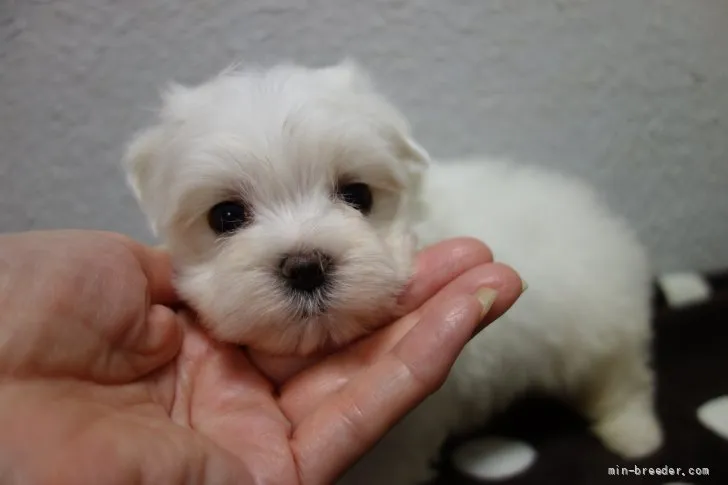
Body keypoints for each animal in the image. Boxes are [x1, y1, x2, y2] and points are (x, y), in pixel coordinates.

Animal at [126, 58, 664, 482]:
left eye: (357, 195)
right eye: (226, 216)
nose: (305, 267)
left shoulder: (400, 441)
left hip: (601, 319)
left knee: (621, 376)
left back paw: (635, 435)